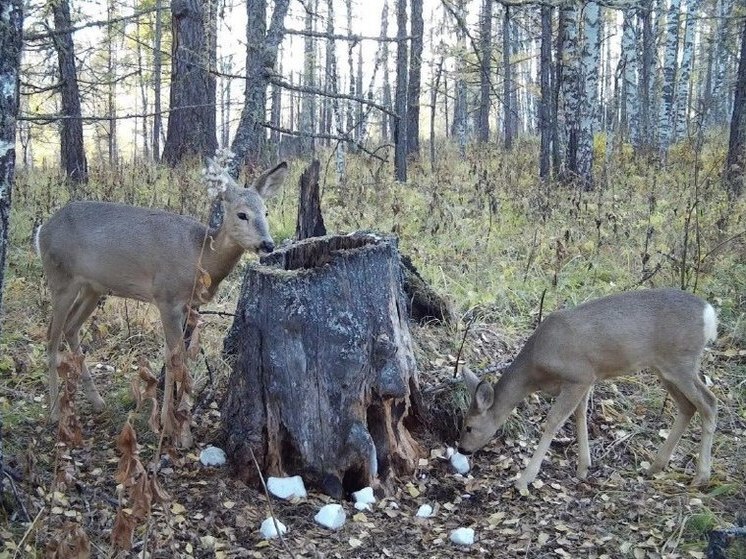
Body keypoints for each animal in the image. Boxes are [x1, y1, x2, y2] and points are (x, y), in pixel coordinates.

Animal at [37, 158, 290, 446]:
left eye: (266, 212)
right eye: (242, 214)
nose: (268, 244)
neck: (200, 256)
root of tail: (42, 230)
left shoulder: (186, 306)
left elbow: (176, 358)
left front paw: (172, 424)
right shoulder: (166, 298)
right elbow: (177, 359)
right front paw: (179, 431)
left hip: (93, 287)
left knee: (71, 327)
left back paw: (97, 401)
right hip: (61, 279)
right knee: (51, 335)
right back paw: (55, 413)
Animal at [456, 290, 716, 492]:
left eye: (468, 426)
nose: (461, 448)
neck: (537, 368)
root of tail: (710, 314)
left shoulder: (579, 376)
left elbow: (554, 421)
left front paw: (524, 480)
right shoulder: (586, 379)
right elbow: (580, 415)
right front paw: (583, 467)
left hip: (681, 362)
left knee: (709, 402)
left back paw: (701, 476)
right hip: (664, 369)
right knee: (688, 406)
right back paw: (655, 466)